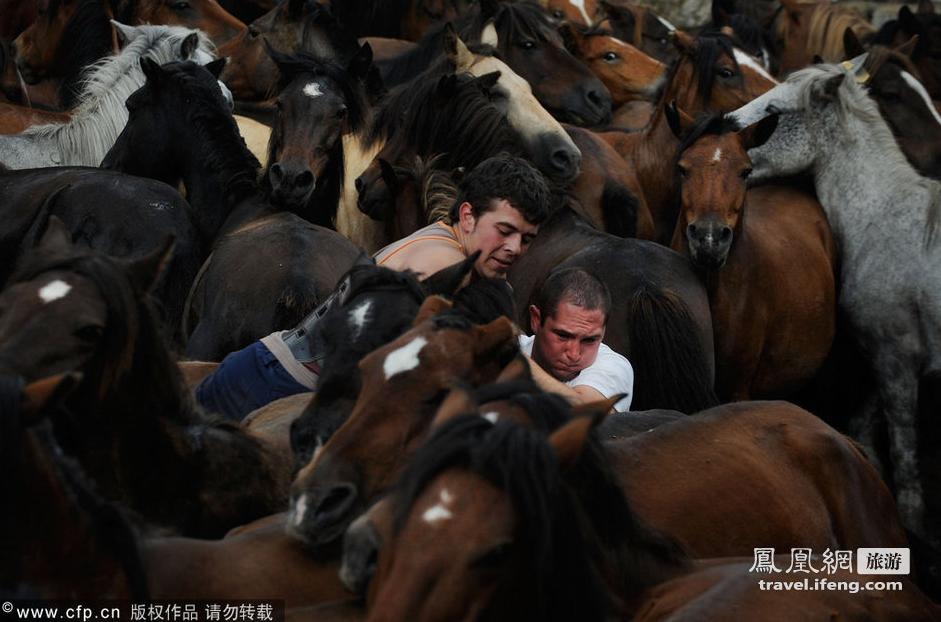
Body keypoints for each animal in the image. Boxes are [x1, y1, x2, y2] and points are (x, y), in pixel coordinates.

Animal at [728, 59, 940, 540]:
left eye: (774, 111)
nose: (725, 123)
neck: (884, 216)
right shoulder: (884, 358)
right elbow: (864, 428)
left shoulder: (897, 358)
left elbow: (904, 455)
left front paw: (913, 526)